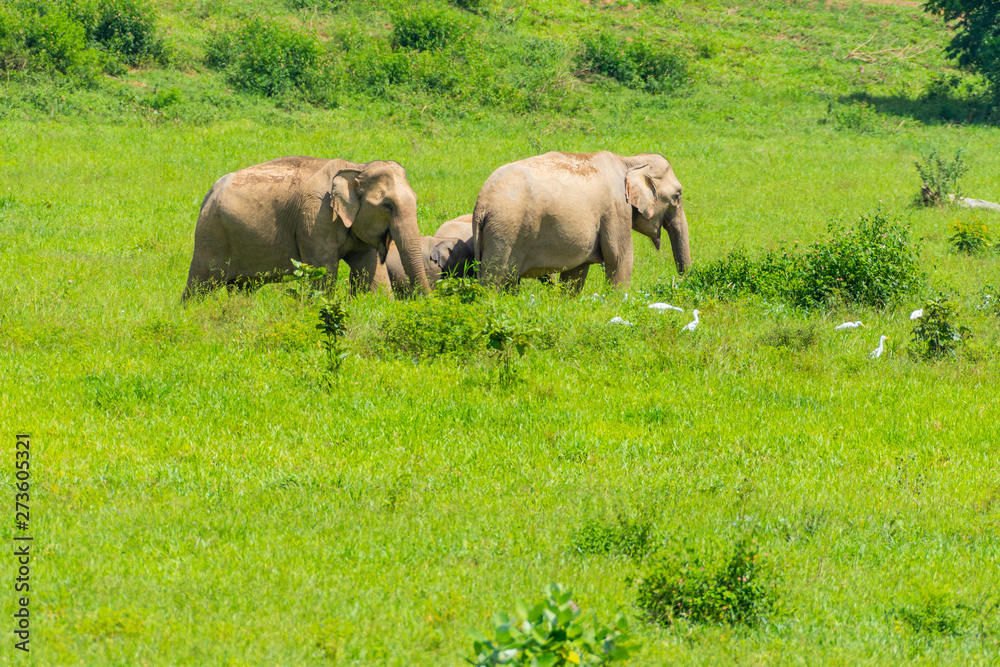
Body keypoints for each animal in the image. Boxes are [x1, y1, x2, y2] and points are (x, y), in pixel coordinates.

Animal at [182, 156, 431, 299]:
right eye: (388, 205)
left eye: (416, 199)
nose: (428, 301)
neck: (357, 168)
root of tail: (210, 192)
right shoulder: (315, 217)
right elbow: (324, 272)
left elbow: (370, 272)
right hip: (211, 234)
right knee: (200, 283)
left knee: (243, 287)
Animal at [472, 151, 690, 292]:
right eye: (678, 195)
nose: (679, 281)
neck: (629, 160)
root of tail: (481, 204)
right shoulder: (616, 209)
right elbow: (620, 259)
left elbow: (575, 273)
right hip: (505, 231)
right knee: (494, 280)